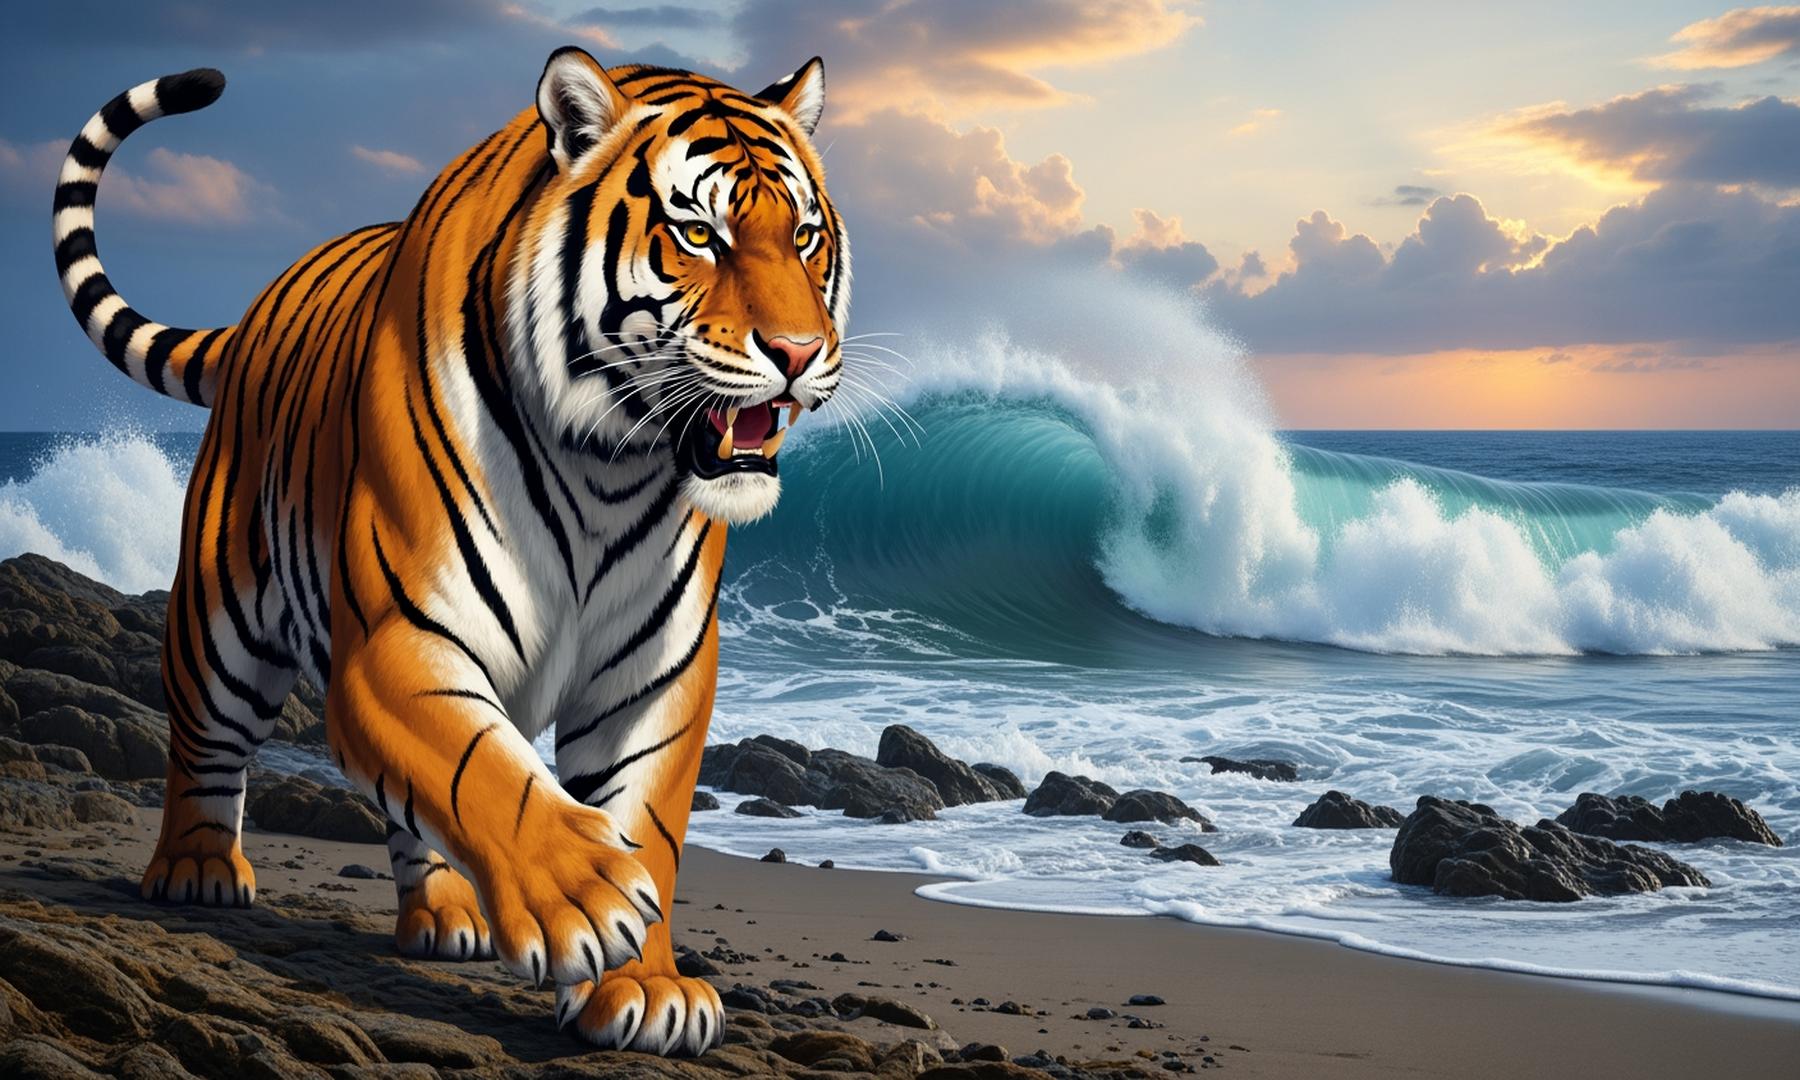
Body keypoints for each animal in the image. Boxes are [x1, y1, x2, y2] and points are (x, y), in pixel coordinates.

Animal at [50, 48, 848, 1055]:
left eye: (807, 236)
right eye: (698, 234)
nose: (799, 352)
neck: (611, 465)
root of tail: (261, 304)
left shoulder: (655, 673)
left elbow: (642, 811)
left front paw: (643, 985)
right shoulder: (398, 642)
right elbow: (488, 775)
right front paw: (587, 898)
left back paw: (445, 916)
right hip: (221, 616)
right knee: (204, 742)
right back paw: (197, 871)